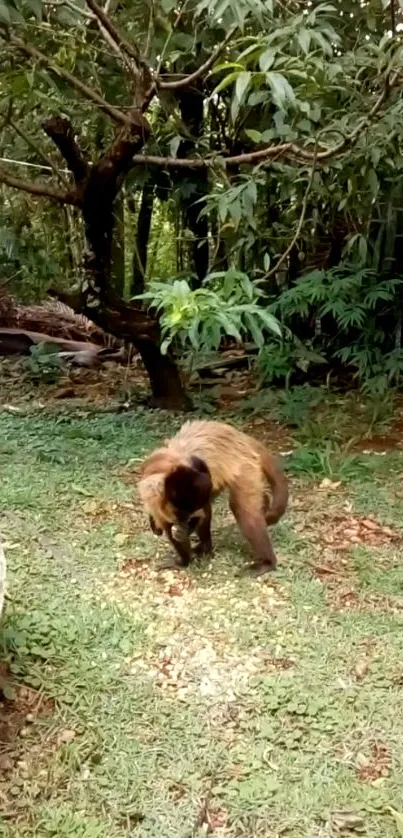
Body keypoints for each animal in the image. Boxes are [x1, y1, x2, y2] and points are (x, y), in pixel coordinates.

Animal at [139, 420, 290, 576]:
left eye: (185, 515)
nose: (183, 522)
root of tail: (240, 436)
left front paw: (183, 561)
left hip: (243, 466)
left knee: (243, 510)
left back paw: (267, 562)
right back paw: (205, 547)